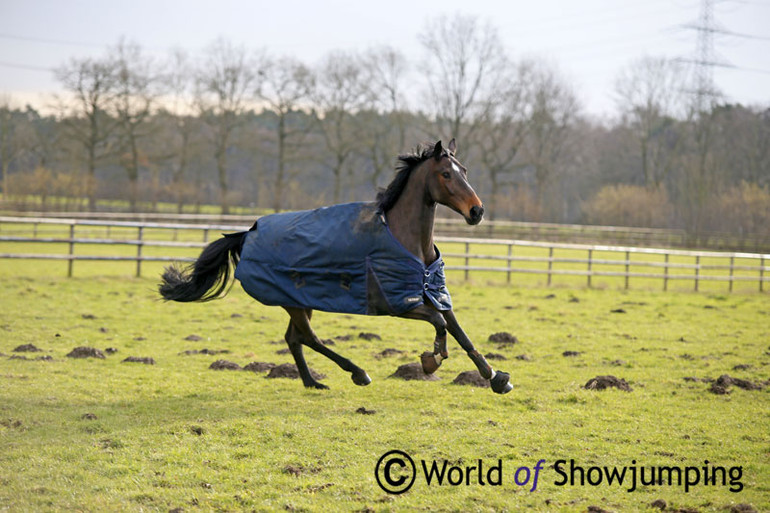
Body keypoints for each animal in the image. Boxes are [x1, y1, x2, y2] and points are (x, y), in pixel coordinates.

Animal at [158, 138, 510, 394]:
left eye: (465, 170)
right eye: (446, 174)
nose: (477, 211)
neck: (406, 242)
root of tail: (247, 233)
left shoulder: (432, 293)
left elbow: (459, 331)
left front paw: (495, 377)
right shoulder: (399, 304)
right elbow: (439, 325)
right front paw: (430, 360)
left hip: (300, 300)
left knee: (294, 338)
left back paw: (312, 381)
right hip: (293, 300)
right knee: (307, 338)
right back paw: (358, 373)